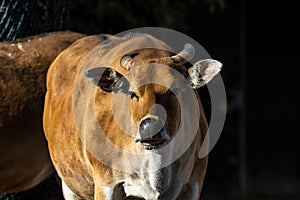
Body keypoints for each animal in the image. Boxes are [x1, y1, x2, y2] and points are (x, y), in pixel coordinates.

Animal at [44, 33, 223, 199]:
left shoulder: (194, 183)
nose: (150, 127)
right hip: (69, 185)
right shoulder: (106, 183)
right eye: (133, 93)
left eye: (175, 89)